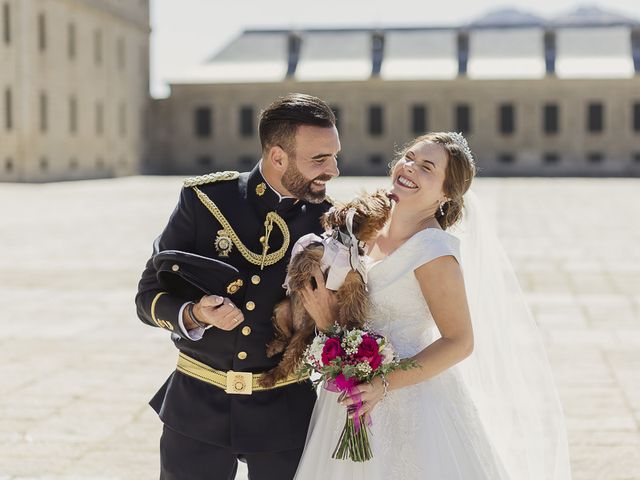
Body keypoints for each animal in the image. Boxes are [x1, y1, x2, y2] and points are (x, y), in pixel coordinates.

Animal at [258, 189, 390, 388]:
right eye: (373, 196)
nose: (386, 192)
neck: (347, 245)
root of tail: (299, 328)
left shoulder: (352, 280)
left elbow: (353, 304)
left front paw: (352, 325)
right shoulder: (315, 251)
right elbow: (303, 262)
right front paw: (297, 282)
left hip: (305, 337)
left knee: (291, 354)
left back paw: (273, 374)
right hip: (282, 309)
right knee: (285, 336)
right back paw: (275, 350)